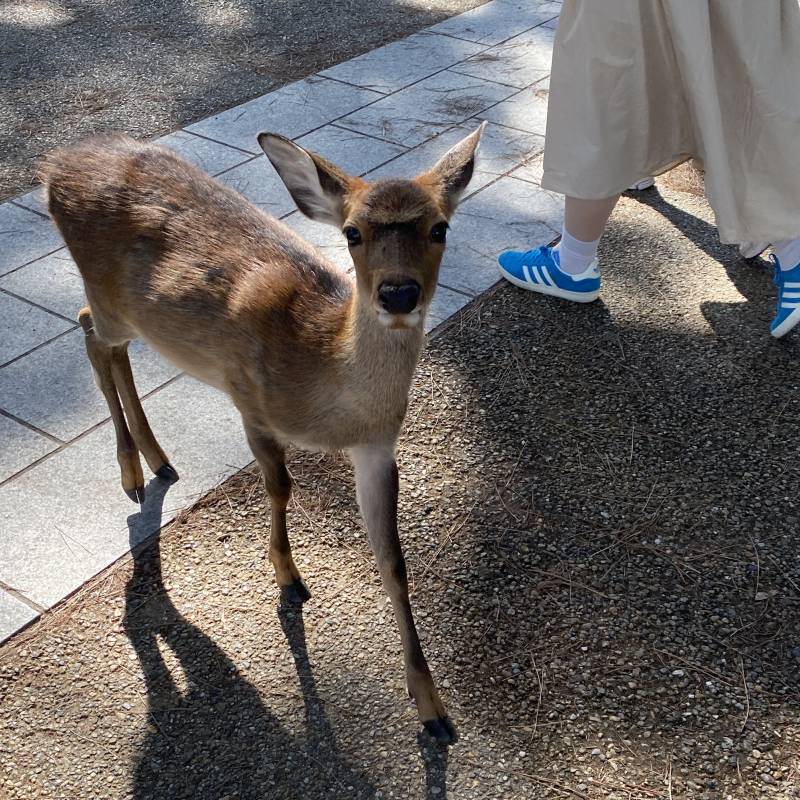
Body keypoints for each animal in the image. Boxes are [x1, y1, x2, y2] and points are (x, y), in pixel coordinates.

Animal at [40, 123, 484, 744]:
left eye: (440, 227)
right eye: (352, 232)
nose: (398, 294)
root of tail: (55, 166)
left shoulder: (377, 448)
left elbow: (394, 562)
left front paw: (434, 710)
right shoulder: (249, 401)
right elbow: (280, 487)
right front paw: (289, 579)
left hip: (127, 312)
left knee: (109, 344)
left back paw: (158, 460)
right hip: (105, 296)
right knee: (89, 330)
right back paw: (131, 473)